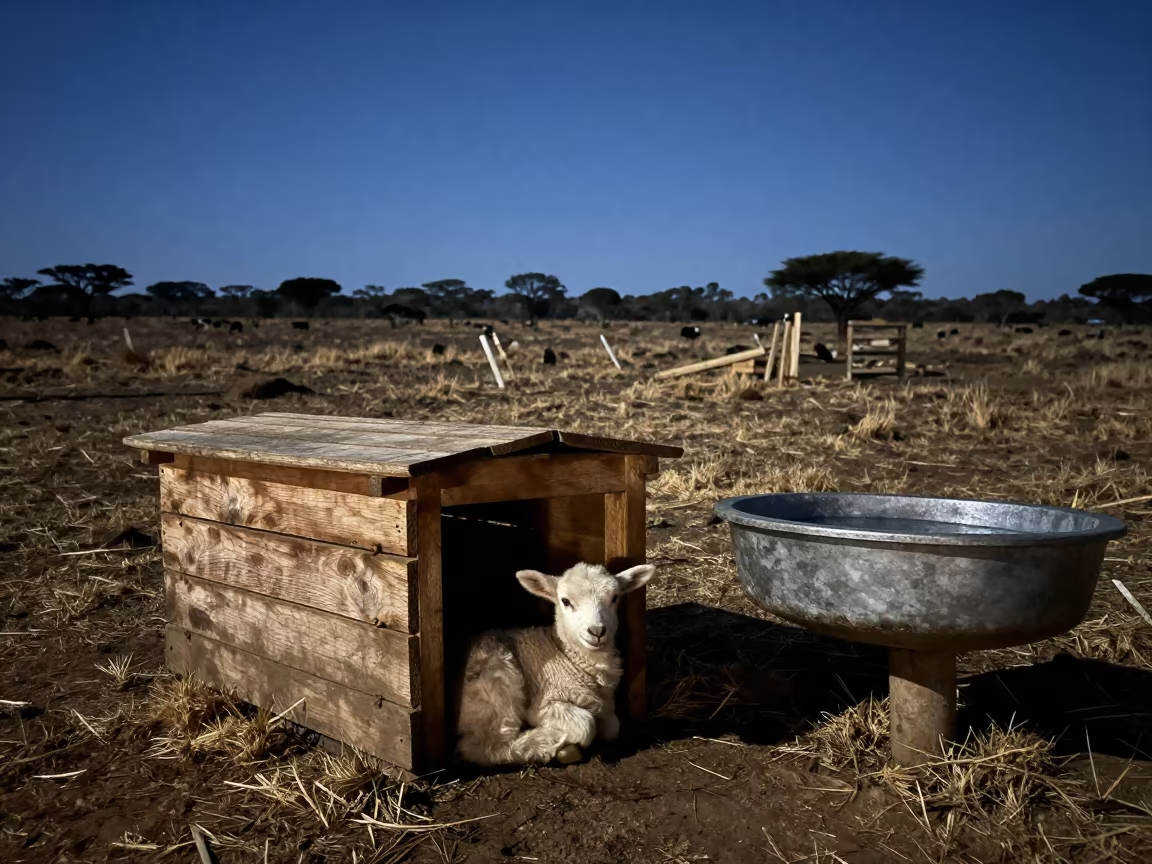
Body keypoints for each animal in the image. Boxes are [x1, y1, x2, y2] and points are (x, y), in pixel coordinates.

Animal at [455, 561, 655, 766]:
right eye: (565, 601)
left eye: (614, 598)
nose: (597, 631)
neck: (567, 657)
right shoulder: (544, 702)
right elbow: (586, 724)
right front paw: (564, 742)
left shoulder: (604, 706)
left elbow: (613, 726)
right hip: (498, 680)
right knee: (484, 746)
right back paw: (549, 743)